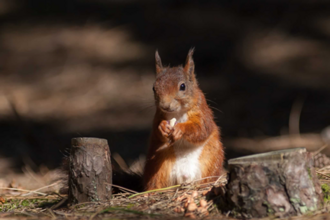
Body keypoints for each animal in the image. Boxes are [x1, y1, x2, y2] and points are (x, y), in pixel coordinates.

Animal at [143, 49, 226, 190]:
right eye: (154, 88)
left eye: (183, 86)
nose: (165, 105)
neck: (178, 113)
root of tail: (184, 178)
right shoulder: (159, 114)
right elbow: (155, 129)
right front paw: (162, 127)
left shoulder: (202, 112)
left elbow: (201, 128)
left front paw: (180, 129)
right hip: (158, 164)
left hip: (211, 159)